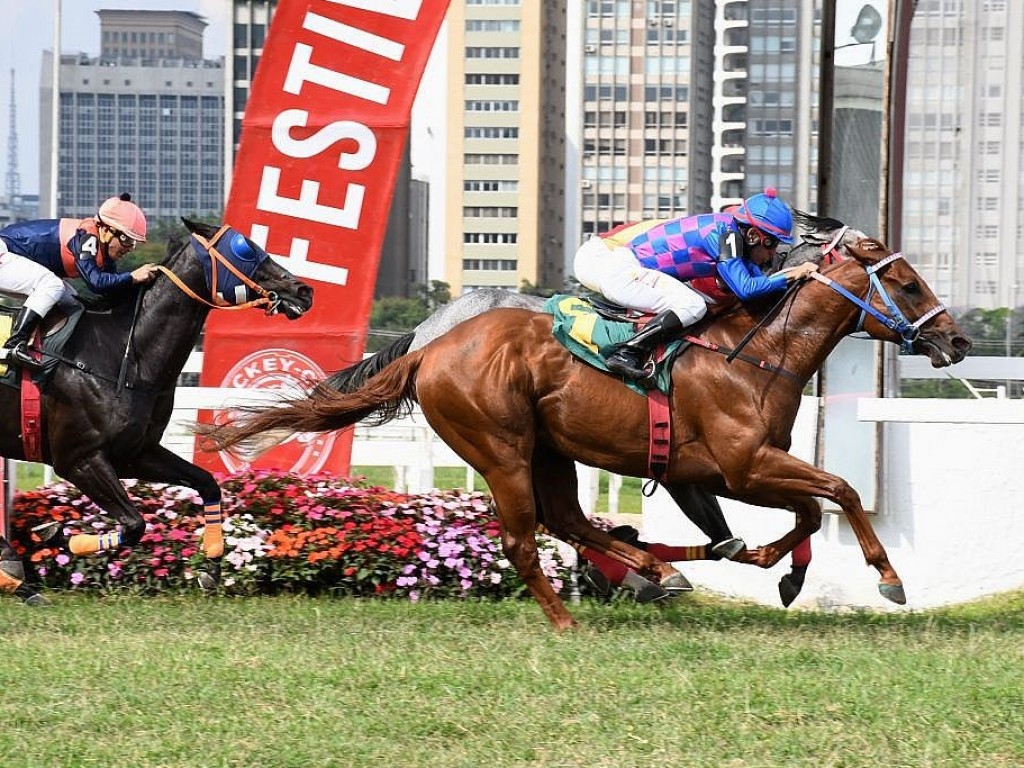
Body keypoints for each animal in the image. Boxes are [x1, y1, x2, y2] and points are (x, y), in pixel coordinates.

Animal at [0, 219, 311, 606]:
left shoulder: (135, 453)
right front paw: (52, 534)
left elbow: (206, 483)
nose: (303, 290)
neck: (125, 352)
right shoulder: (78, 459)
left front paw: (211, 566)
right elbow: (135, 524)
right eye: (246, 248)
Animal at [201, 224, 966, 630]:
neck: (753, 354)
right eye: (906, 284)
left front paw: (775, 569)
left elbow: (801, 514)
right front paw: (887, 577)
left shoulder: (720, 470)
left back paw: (655, 566)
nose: (955, 341)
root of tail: (429, 349)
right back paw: (572, 615)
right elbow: (839, 491)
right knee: (523, 537)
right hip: (502, 449)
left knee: (569, 520)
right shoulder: (742, 465)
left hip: (551, 450)